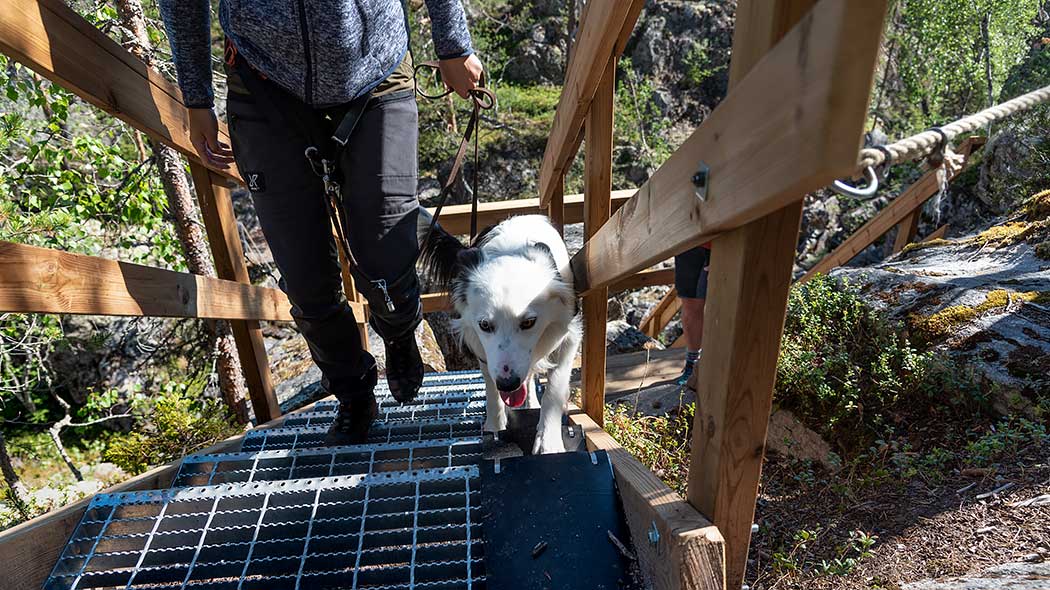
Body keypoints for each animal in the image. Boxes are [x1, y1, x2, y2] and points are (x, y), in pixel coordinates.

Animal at [417, 212, 583, 455]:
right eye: (485, 325)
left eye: (529, 322)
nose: (508, 383)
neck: (510, 252)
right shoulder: (479, 344)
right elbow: (491, 386)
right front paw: (495, 427)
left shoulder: (568, 330)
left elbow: (555, 386)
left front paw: (549, 441)